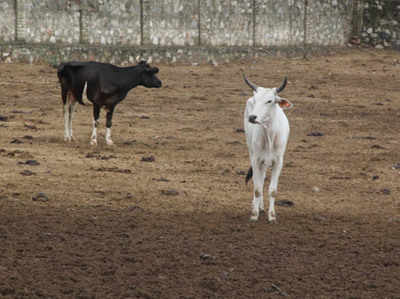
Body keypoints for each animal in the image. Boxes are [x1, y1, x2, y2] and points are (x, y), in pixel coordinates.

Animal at [242, 72, 292, 223]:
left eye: (270, 101)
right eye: (256, 100)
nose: (252, 117)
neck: (269, 137)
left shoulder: (278, 162)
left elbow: (273, 190)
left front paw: (272, 216)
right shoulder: (256, 159)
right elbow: (257, 188)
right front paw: (254, 214)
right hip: (252, 152)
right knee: (258, 180)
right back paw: (258, 206)